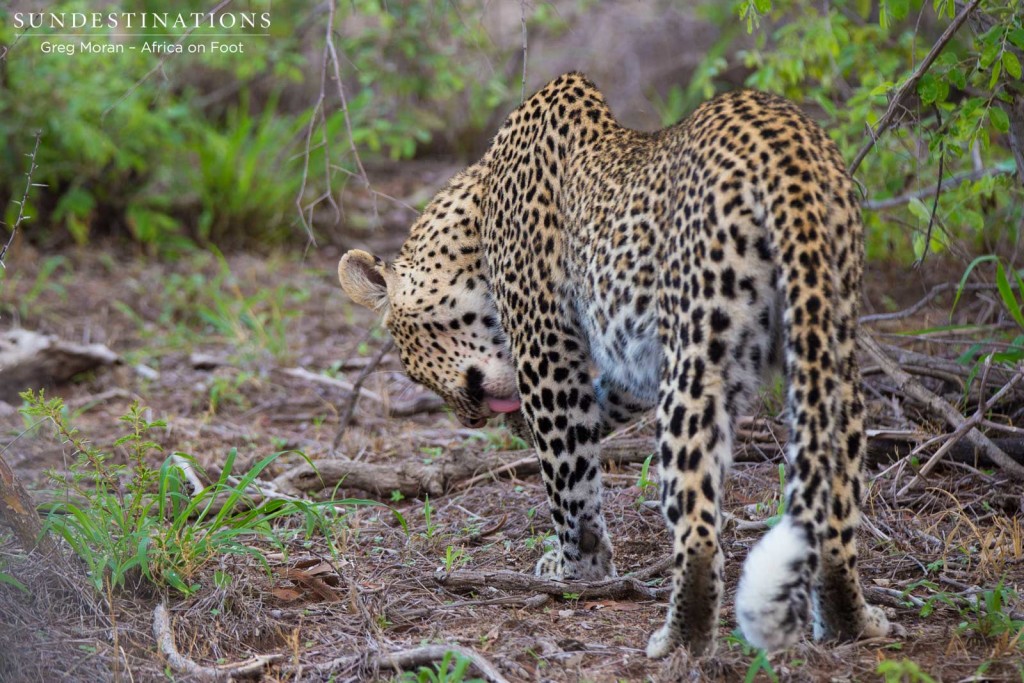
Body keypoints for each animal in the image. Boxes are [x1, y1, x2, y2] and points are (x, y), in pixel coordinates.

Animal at [339, 73, 892, 655]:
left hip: (699, 356)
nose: (469, 418)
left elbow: (568, 473)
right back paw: (851, 621)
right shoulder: (633, 358)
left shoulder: (546, 350)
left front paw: (578, 568)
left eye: (411, 364)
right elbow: (596, 415)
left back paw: (679, 639)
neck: (476, 217)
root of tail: (789, 152)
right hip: (830, 347)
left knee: (698, 524)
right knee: (837, 500)